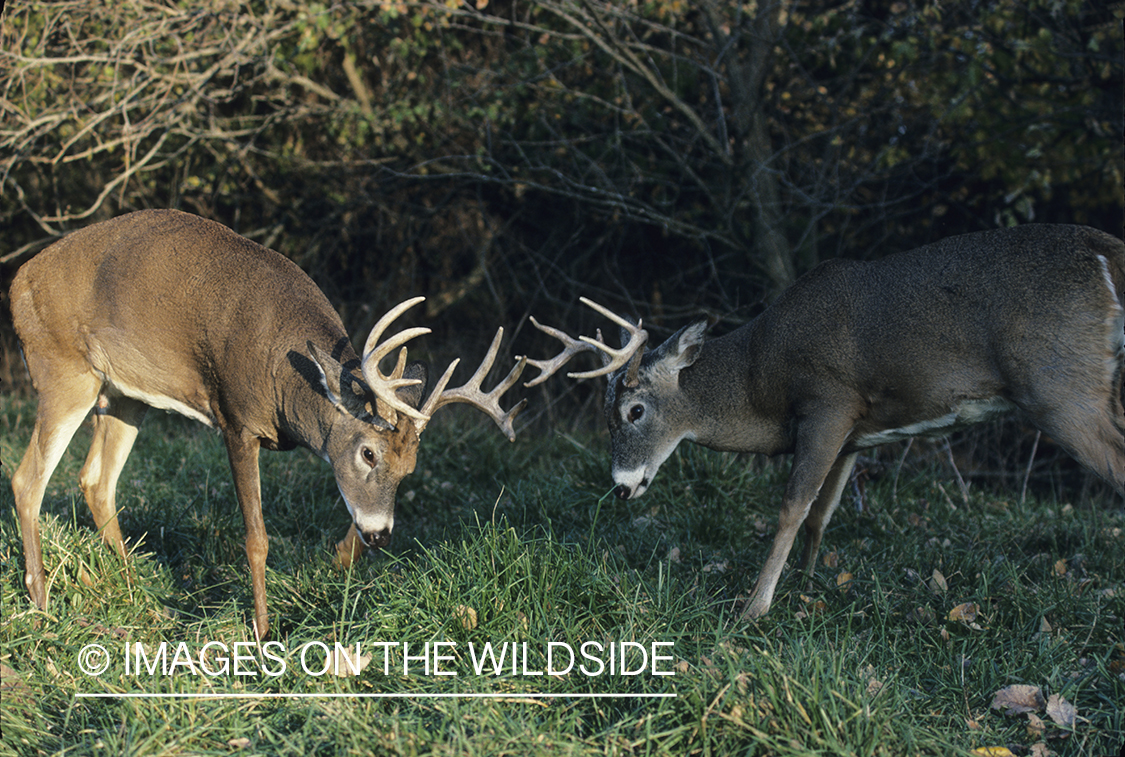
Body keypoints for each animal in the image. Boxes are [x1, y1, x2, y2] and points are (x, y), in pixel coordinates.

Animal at [9, 208, 528, 640]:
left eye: (410, 468)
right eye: (368, 452)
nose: (381, 534)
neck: (286, 380)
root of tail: (17, 283)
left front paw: (339, 562)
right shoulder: (236, 420)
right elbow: (256, 537)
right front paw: (262, 632)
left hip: (124, 393)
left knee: (96, 480)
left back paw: (139, 594)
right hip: (62, 368)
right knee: (27, 479)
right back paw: (41, 602)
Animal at [523, 224, 1125, 620]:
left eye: (634, 411)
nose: (621, 488)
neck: (759, 382)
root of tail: (1105, 249)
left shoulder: (829, 401)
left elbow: (792, 506)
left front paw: (754, 607)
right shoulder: (856, 432)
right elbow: (821, 513)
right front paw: (810, 583)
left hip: (1060, 387)